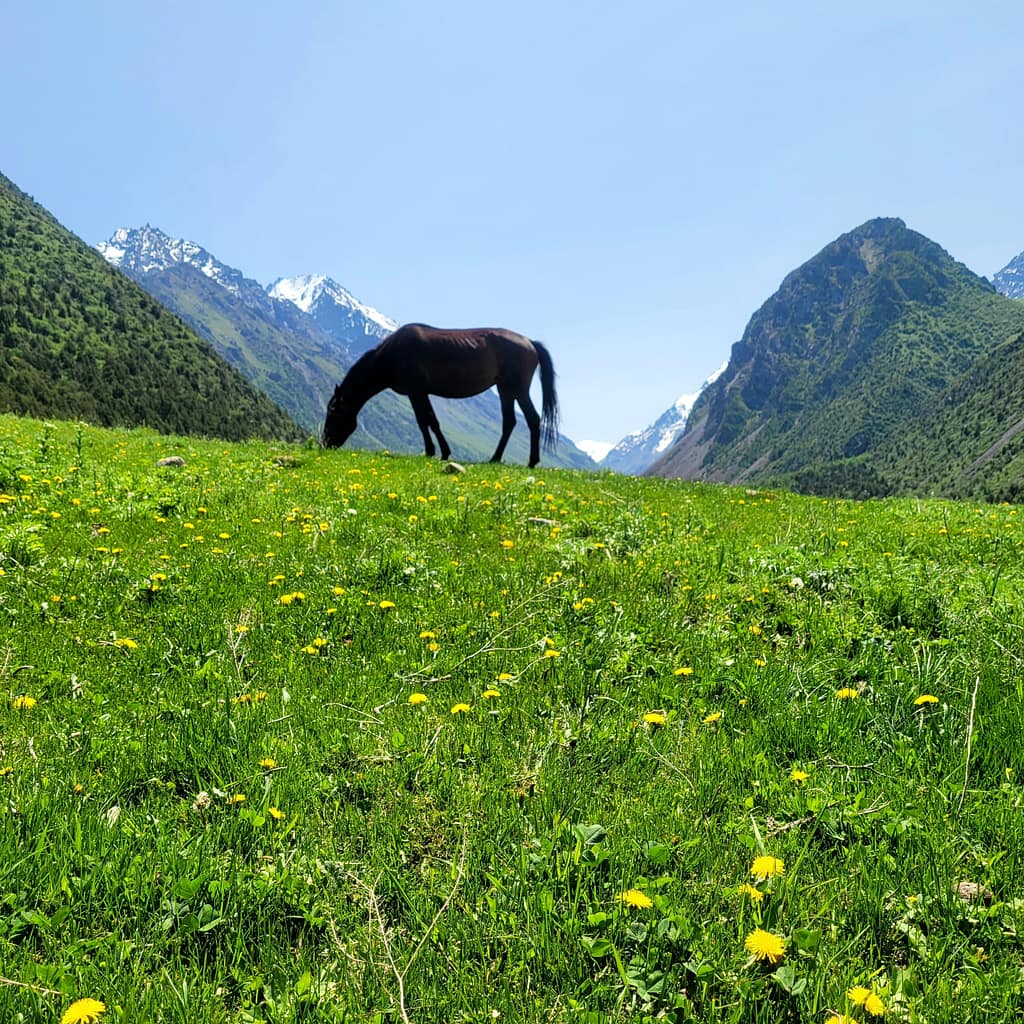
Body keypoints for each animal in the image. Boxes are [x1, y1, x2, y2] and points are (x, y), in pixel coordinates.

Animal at [322, 323, 559, 467]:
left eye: (333, 413)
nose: (324, 443)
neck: (390, 356)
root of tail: (529, 342)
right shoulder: (420, 393)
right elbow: (430, 421)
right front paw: (441, 451)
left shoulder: (416, 392)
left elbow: (425, 421)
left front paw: (433, 451)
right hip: (505, 390)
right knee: (510, 422)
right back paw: (497, 458)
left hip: (517, 389)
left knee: (532, 419)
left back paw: (530, 461)